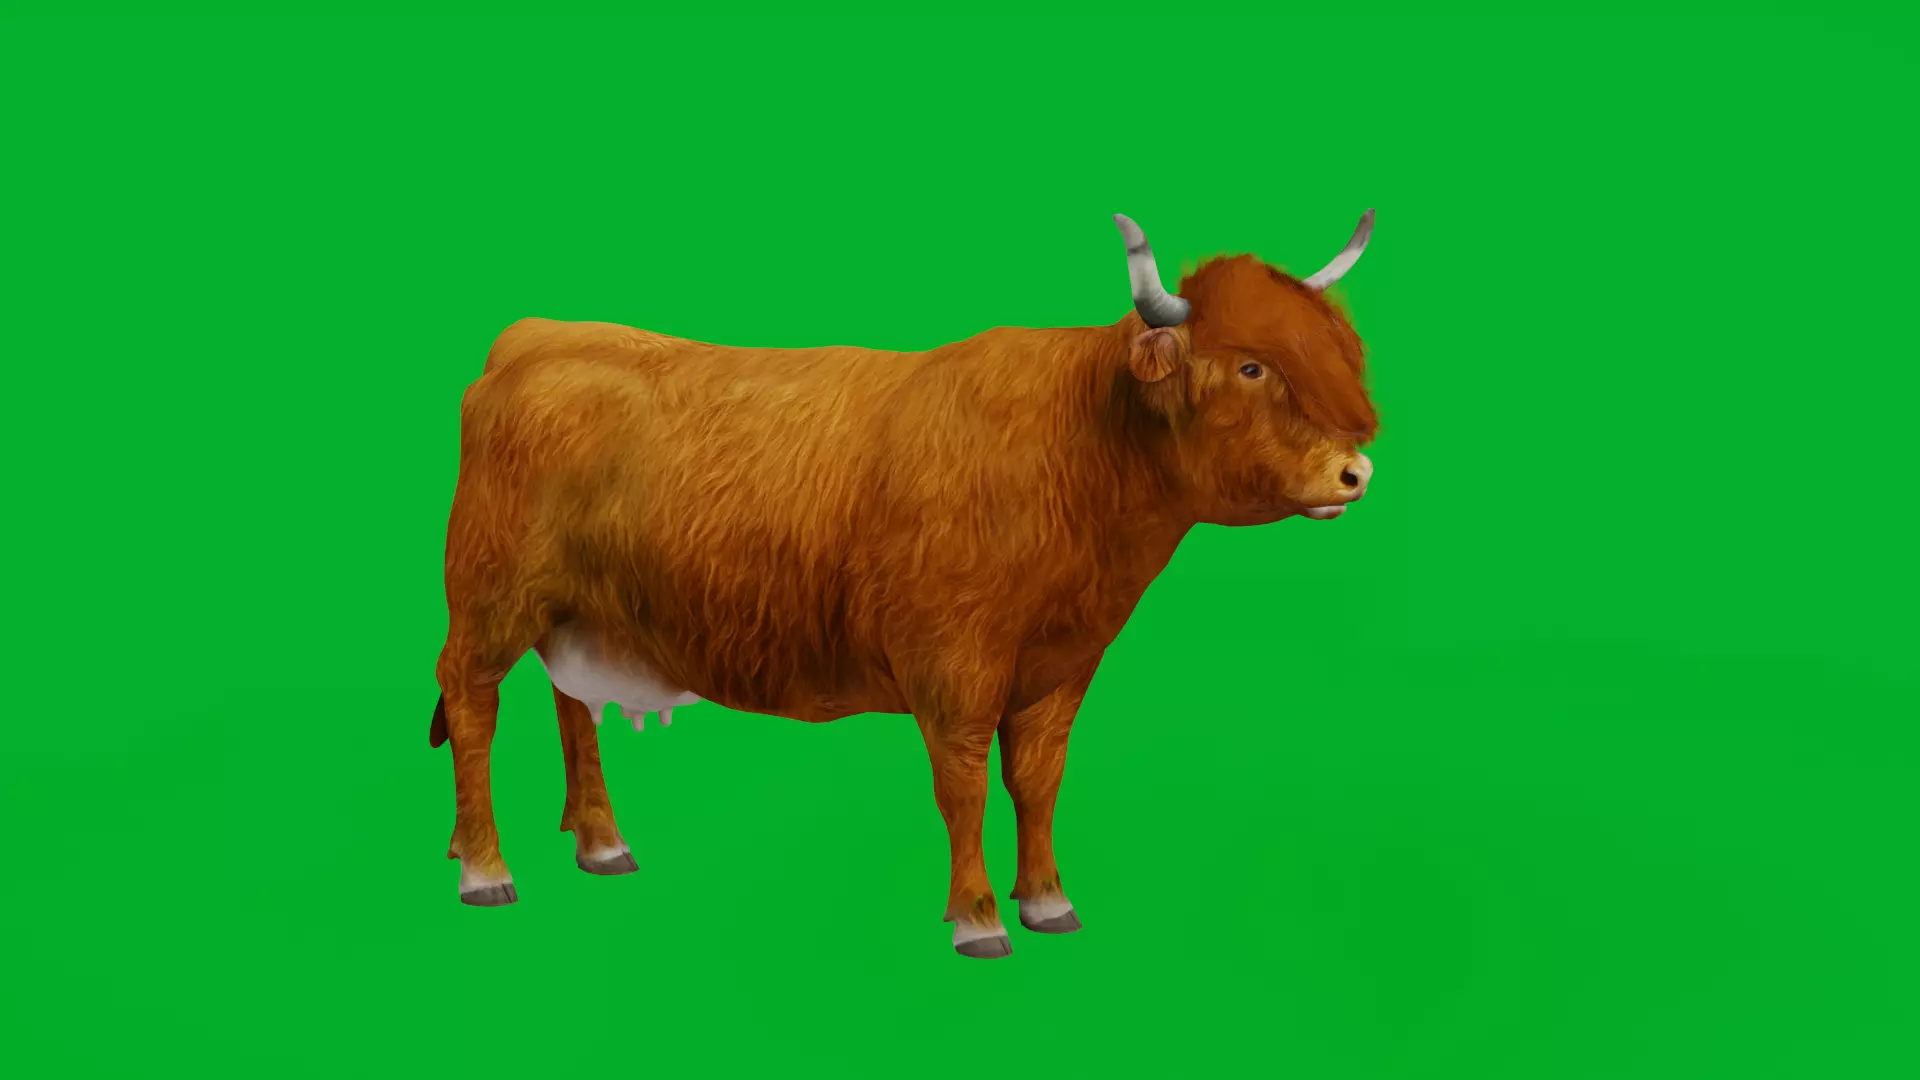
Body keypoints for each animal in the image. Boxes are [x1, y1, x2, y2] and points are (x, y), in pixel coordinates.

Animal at [430, 211, 1381, 958]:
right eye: (1252, 367)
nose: (1356, 471)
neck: (1078, 450)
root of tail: (541, 333)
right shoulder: (953, 662)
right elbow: (963, 785)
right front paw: (979, 918)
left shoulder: (1060, 668)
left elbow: (1038, 780)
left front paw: (1049, 899)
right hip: (490, 597)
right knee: (474, 707)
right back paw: (484, 868)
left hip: (578, 613)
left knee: (573, 708)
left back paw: (601, 843)